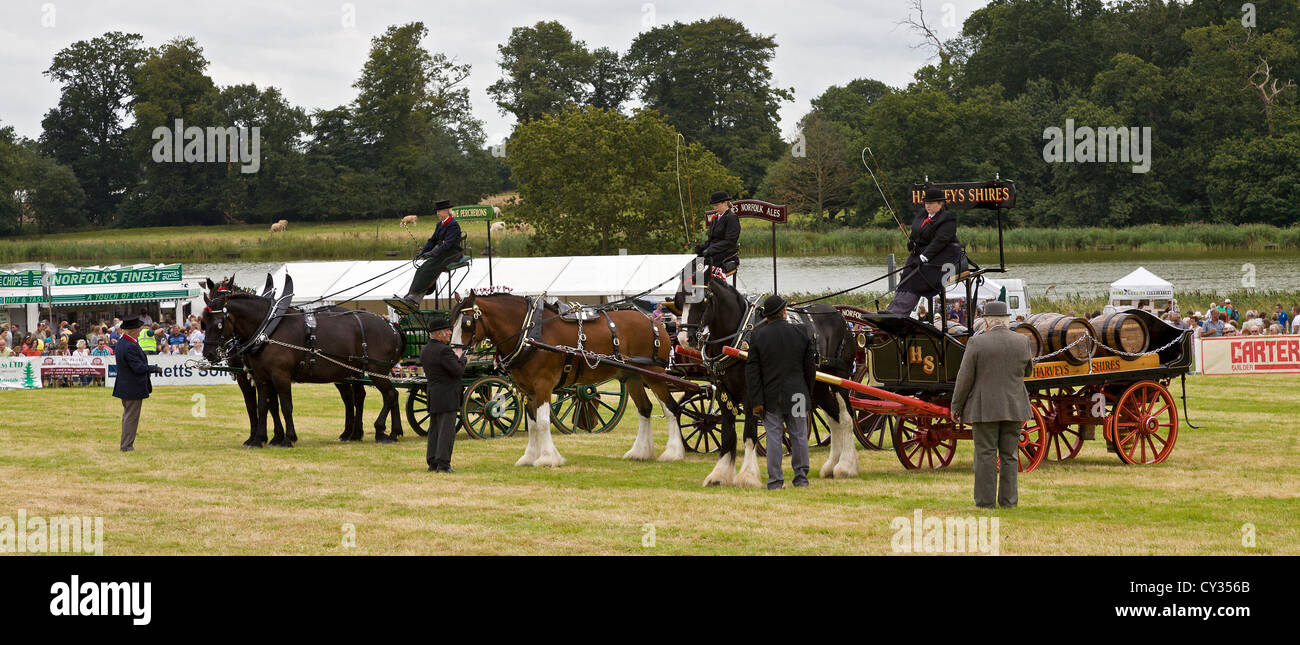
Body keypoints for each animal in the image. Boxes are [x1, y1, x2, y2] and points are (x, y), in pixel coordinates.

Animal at [206, 274, 405, 444]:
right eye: (203, 320)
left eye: (218, 323)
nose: (208, 353)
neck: (267, 328)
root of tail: (390, 325)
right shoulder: (257, 376)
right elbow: (262, 405)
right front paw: (259, 438)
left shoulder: (279, 375)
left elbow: (283, 405)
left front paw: (285, 438)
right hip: (350, 372)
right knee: (362, 397)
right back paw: (377, 433)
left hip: (376, 370)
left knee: (389, 394)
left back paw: (380, 430)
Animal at [452, 289, 686, 465]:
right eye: (451, 320)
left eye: (466, 323)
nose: (455, 353)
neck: (530, 333)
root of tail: (655, 322)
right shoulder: (526, 390)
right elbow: (533, 423)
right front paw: (530, 457)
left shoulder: (543, 385)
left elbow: (543, 422)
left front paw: (547, 458)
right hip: (633, 377)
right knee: (645, 409)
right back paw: (640, 452)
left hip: (655, 374)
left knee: (671, 409)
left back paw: (672, 453)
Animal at [670, 273, 863, 488]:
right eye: (679, 301)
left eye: (702, 300)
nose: (684, 339)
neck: (738, 336)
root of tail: (838, 315)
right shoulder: (723, 392)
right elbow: (727, 434)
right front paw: (719, 475)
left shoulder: (750, 393)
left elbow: (749, 433)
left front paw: (747, 476)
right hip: (819, 386)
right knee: (834, 417)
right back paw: (832, 466)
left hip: (840, 378)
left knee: (846, 417)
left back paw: (845, 466)